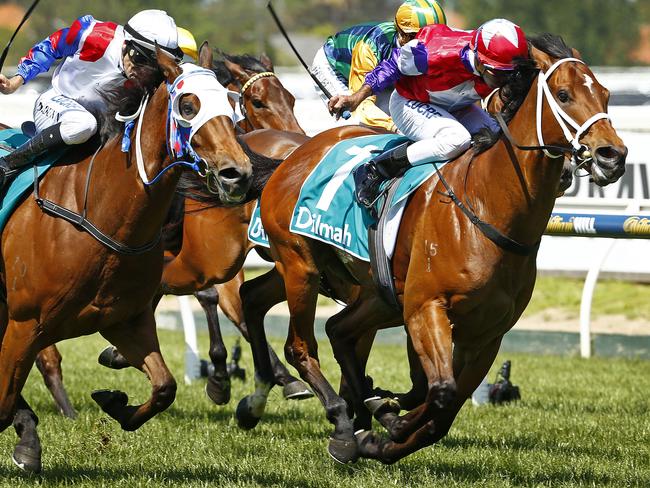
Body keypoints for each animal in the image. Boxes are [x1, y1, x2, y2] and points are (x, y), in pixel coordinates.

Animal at [0, 43, 251, 472]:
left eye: (233, 106)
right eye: (188, 105)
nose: (238, 173)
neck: (101, 216)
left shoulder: (125, 321)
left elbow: (165, 386)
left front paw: (115, 402)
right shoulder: (24, 323)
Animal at [233, 32, 624, 464]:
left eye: (605, 94)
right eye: (564, 94)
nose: (612, 155)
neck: (485, 206)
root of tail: (291, 158)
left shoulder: (487, 333)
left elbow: (441, 410)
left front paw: (386, 429)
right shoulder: (425, 307)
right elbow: (441, 393)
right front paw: (388, 424)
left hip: (371, 292)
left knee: (325, 325)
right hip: (300, 265)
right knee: (301, 346)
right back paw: (341, 423)